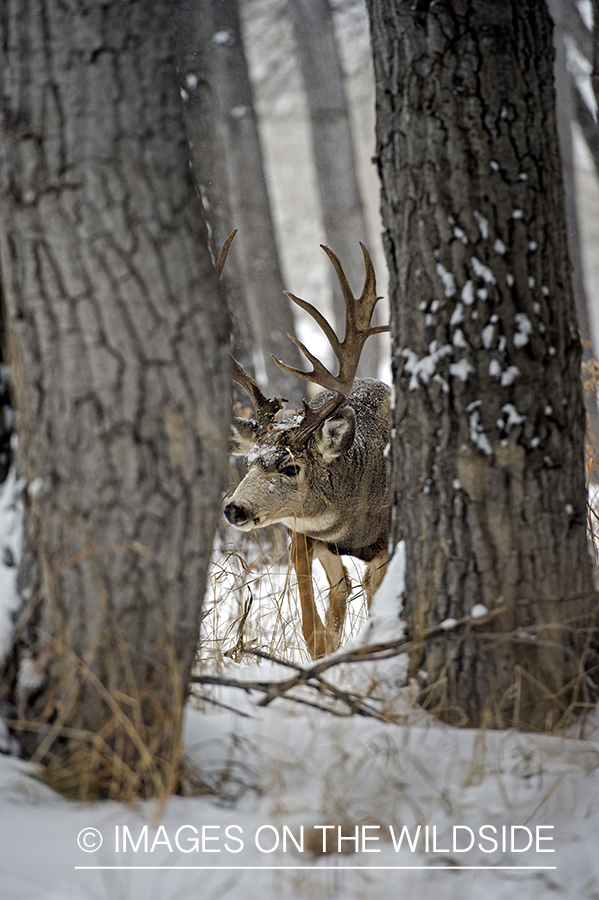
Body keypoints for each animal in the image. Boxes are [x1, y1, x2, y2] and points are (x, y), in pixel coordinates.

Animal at [222, 235, 390, 660]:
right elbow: (315, 619)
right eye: (248, 462)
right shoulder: (299, 531)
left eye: (290, 467)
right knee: (341, 586)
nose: (234, 508)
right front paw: (324, 648)